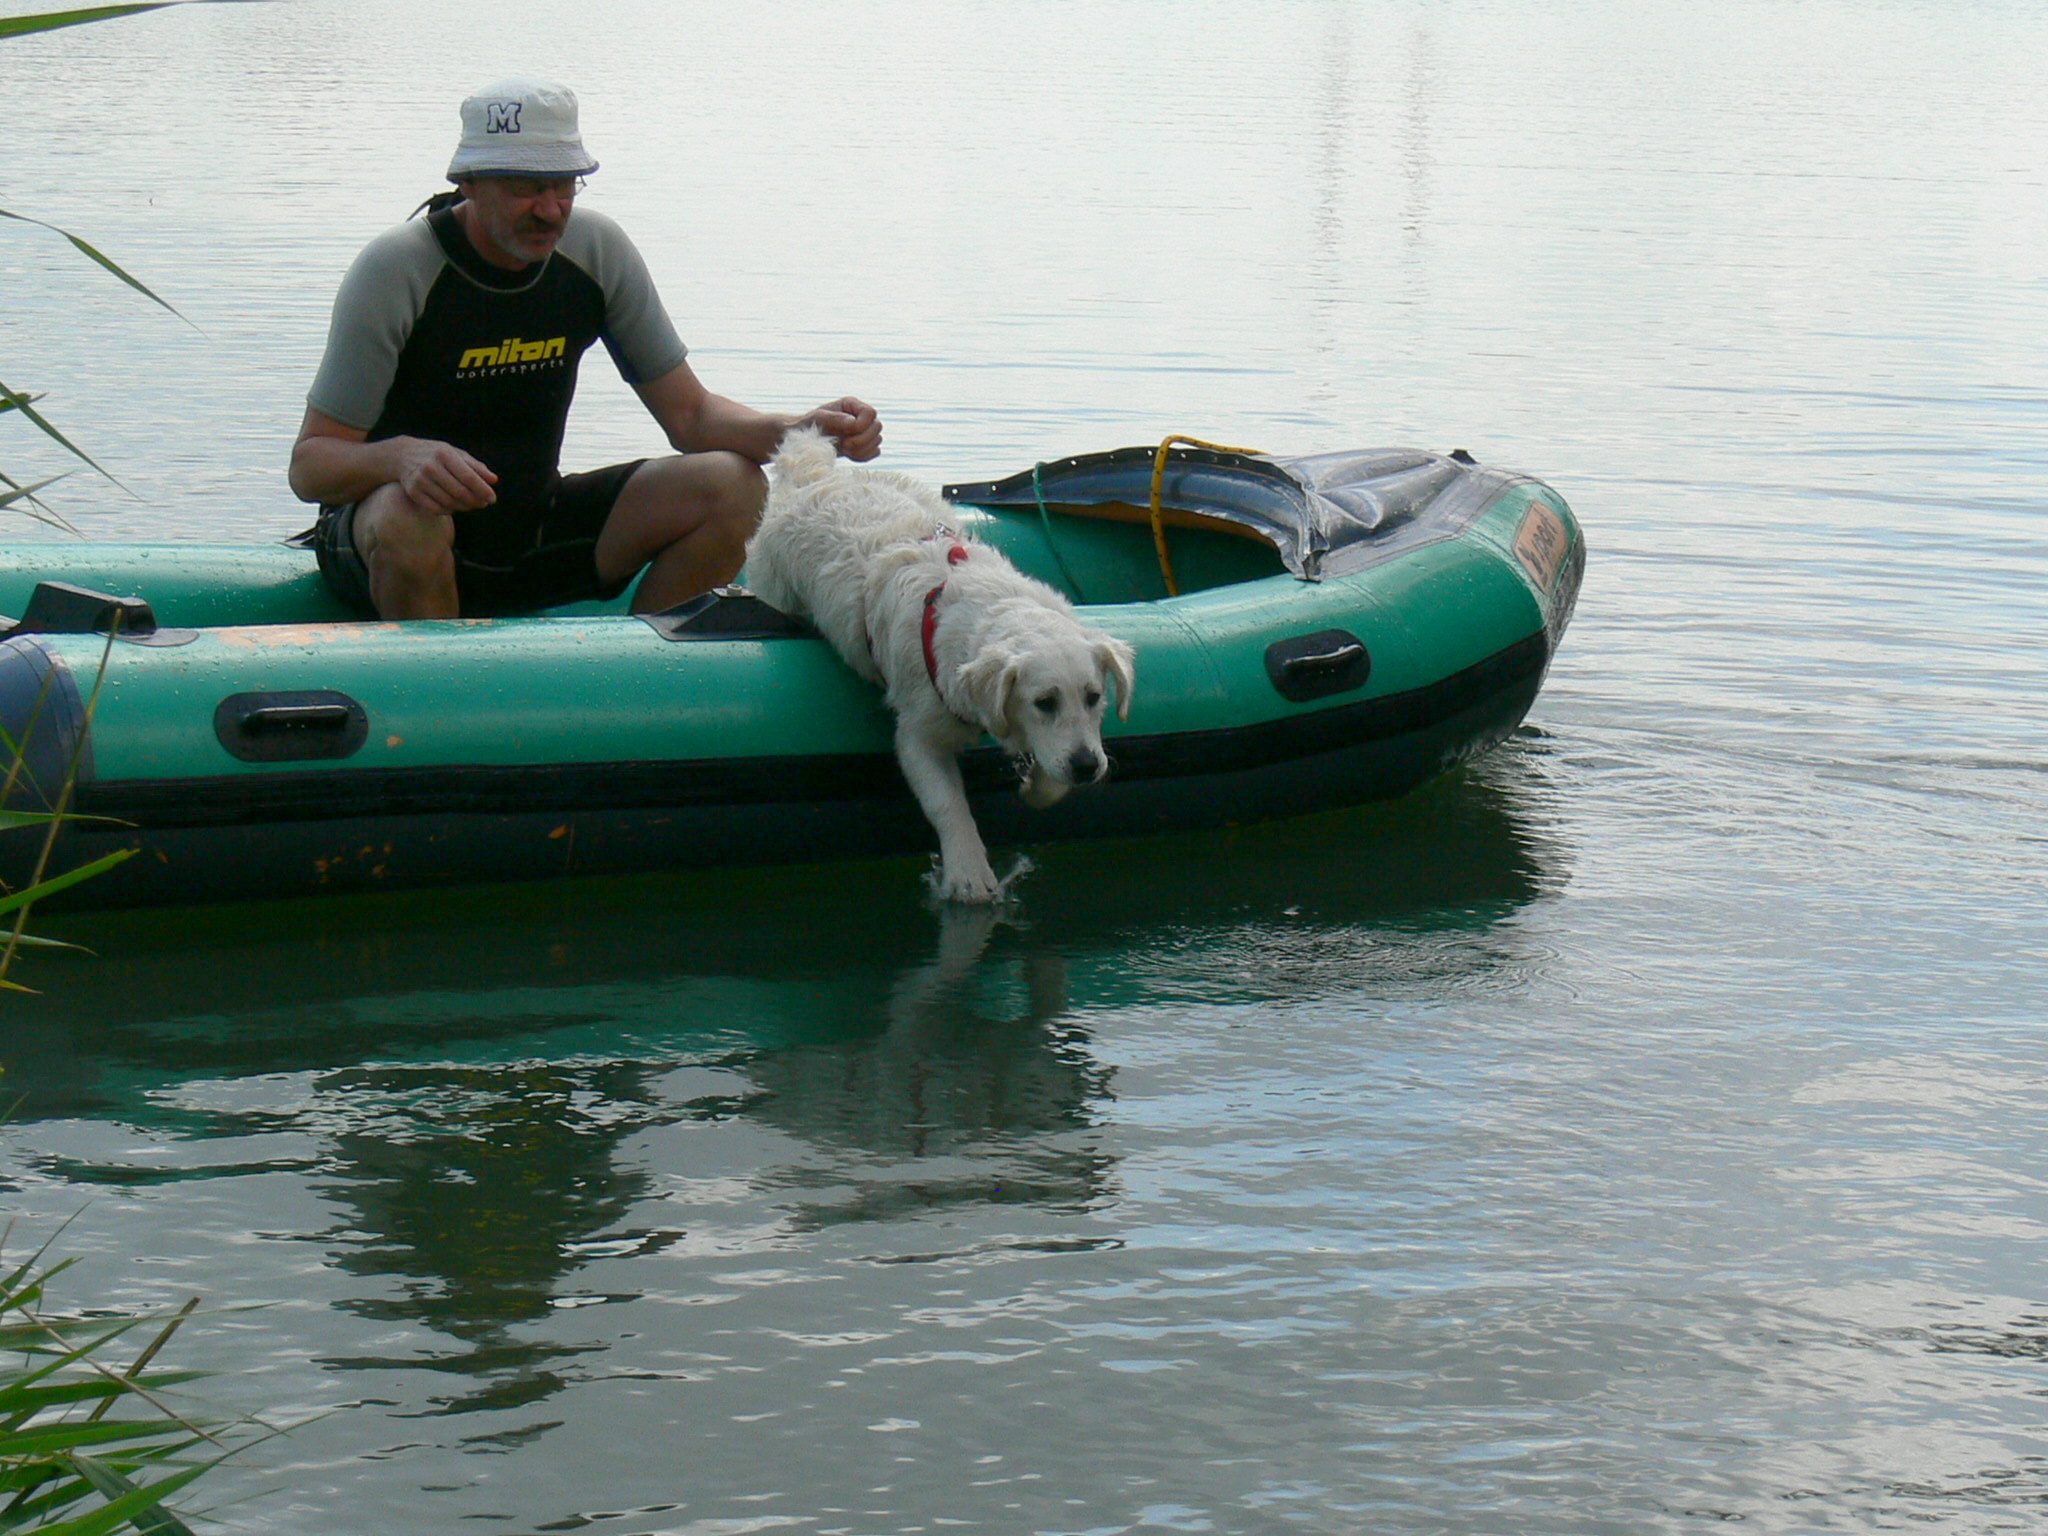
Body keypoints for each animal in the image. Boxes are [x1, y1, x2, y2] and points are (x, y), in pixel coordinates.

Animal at [749, 423, 1138, 901]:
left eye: (1094, 697)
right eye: (1044, 702)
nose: (1088, 768)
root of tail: (814, 475)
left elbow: (1050, 773)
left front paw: (1036, 788)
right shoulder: (917, 733)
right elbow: (946, 802)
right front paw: (969, 871)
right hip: (772, 590)